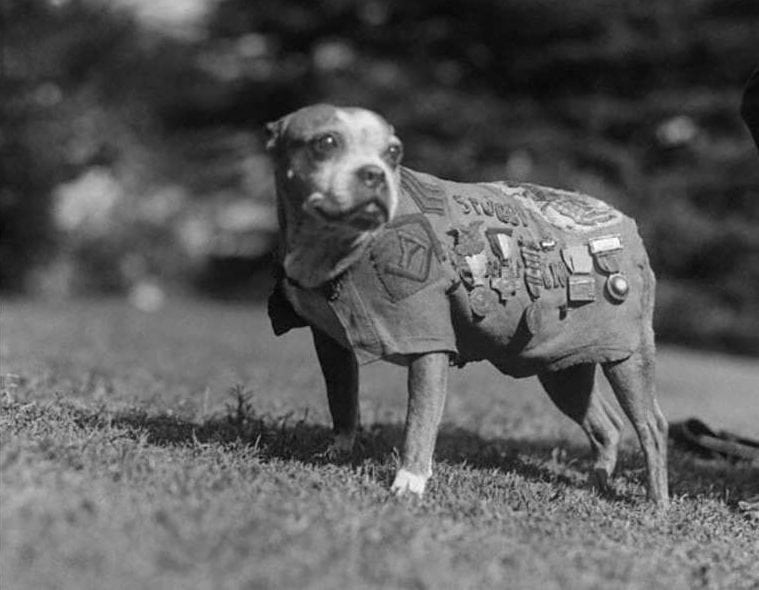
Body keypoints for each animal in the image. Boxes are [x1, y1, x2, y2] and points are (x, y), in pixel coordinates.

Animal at [268, 104, 672, 506]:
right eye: (325, 142)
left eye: (394, 152)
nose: (374, 173)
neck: (336, 247)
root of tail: (626, 223)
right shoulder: (331, 345)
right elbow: (342, 401)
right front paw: (336, 452)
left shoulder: (428, 346)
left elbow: (419, 420)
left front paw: (409, 482)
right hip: (562, 367)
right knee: (606, 425)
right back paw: (597, 482)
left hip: (628, 358)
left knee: (651, 425)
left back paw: (656, 502)